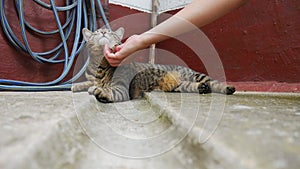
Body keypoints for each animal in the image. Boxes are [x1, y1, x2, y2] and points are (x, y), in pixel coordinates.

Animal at [71, 27, 236, 103]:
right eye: (96, 32)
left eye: (111, 32)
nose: (104, 31)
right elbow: (88, 82)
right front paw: (77, 86)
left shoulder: (122, 89)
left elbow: (109, 90)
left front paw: (99, 90)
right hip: (180, 85)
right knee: (197, 86)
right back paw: (202, 88)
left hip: (196, 75)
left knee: (215, 83)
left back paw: (228, 88)